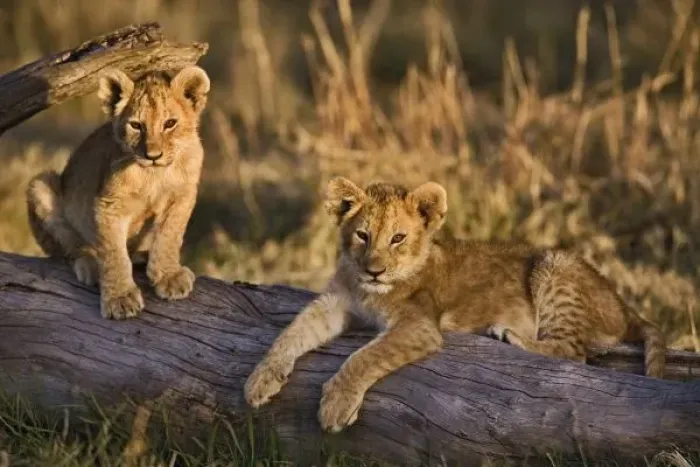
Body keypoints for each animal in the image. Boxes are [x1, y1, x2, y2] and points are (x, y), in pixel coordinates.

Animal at [26, 66, 210, 320]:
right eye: (136, 126)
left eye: (170, 123)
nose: (153, 155)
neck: (154, 175)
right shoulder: (108, 205)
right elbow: (114, 253)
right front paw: (120, 299)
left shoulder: (182, 196)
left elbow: (169, 235)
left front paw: (169, 276)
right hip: (41, 183)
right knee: (73, 248)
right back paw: (92, 267)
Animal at [244, 177, 666, 433]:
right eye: (362, 235)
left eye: (398, 238)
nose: (375, 271)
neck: (368, 291)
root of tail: (623, 303)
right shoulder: (334, 303)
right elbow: (291, 332)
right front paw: (260, 380)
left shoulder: (419, 326)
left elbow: (364, 358)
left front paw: (335, 405)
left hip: (555, 264)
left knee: (574, 352)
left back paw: (508, 335)